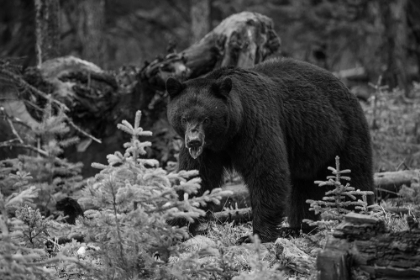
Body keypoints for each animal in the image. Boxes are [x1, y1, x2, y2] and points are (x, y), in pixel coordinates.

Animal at [166, 58, 372, 242]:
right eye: (184, 118)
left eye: (206, 119)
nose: (193, 142)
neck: (228, 135)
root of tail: (347, 88)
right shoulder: (208, 151)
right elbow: (195, 178)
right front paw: (179, 225)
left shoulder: (255, 125)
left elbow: (266, 171)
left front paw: (255, 235)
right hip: (310, 147)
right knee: (304, 187)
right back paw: (298, 227)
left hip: (344, 135)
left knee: (355, 178)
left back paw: (360, 214)